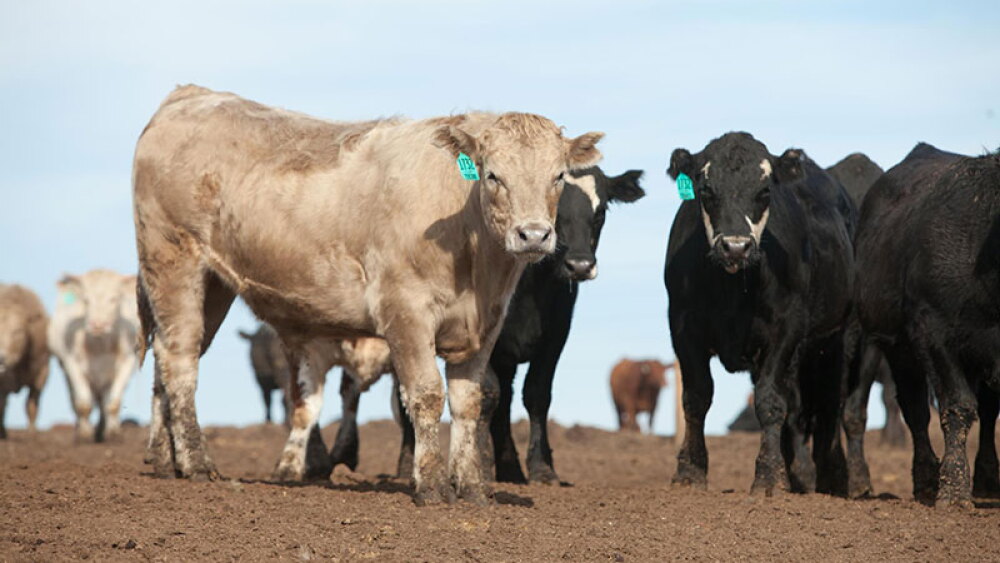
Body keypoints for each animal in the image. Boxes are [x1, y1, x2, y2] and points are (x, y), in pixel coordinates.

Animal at [0, 284, 49, 439]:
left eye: (18, 331)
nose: (1, 358)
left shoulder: (42, 373)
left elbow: (31, 404)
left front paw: (32, 433)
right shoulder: (4, 378)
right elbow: (2, 403)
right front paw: (2, 434)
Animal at [48, 270, 139, 443]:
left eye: (114, 299)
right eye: (86, 300)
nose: (98, 325)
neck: (99, 345)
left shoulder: (128, 362)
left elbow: (113, 403)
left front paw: (113, 434)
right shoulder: (71, 362)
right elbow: (84, 404)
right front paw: (84, 435)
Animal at [132, 85, 603, 505]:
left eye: (557, 176)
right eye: (492, 176)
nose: (534, 235)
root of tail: (191, 94)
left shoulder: (485, 325)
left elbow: (470, 400)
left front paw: (471, 489)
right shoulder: (405, 312)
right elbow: (426, 395)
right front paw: (432, 487)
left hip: (211, 285)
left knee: (168, 355)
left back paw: (165, 460)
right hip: (173, 262)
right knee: (181, 361)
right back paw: (196, 464)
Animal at [665, 132, 855, 497]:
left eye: (765, 190)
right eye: (706, 189)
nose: (736, 247)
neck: (732, 291)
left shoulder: (786, 330)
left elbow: (770, 401)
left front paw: (769, 477)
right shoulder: (682, 326)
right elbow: (696, 397)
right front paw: (690, 471)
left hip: (838, 338)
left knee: (826, 404)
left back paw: (828, 477)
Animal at [854, 142, 1000, 507]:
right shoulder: (935, 332)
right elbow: (957, 406)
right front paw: (953, 491)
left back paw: (988, 479)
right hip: (899, 348)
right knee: (915, 409)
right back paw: (926, 481)